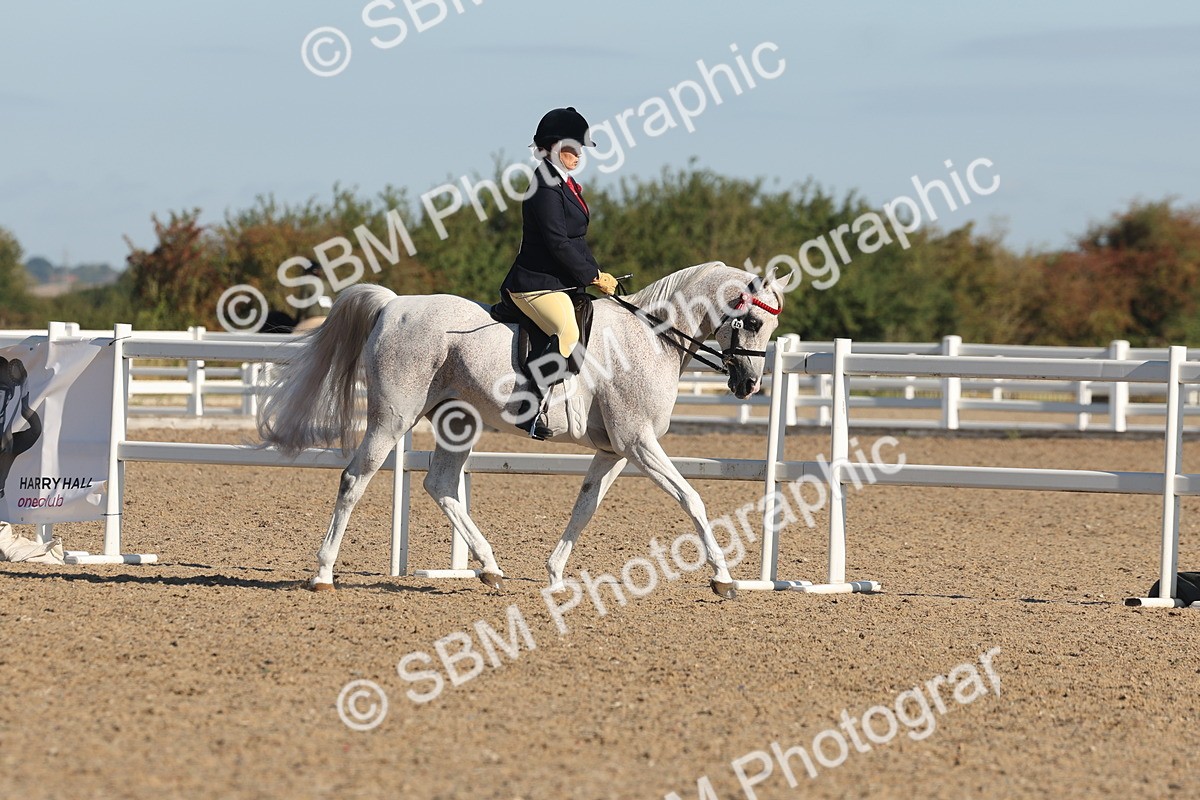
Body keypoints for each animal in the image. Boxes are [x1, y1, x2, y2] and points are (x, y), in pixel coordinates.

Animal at [256, 261, 786, 598]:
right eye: (752, 322)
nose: (749, 385)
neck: (653, 338)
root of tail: (393, 305)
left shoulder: (615, 450)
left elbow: (585, 507)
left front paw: (554, 574)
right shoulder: (639, 443)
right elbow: (692, 499)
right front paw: (723, 578)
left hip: (458, 422)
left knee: (440, 484)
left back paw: (490, 569)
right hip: (393, 418)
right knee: (355, 478)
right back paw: (323, 573)